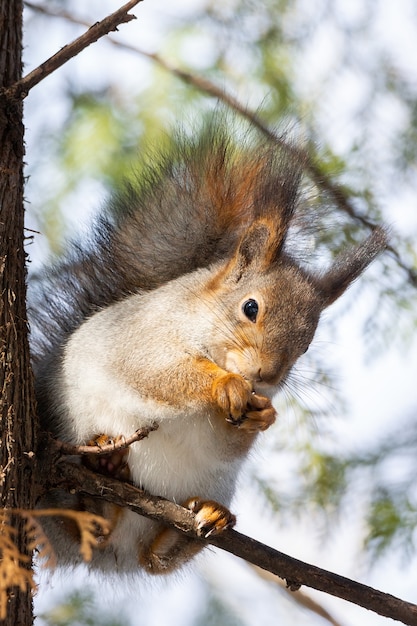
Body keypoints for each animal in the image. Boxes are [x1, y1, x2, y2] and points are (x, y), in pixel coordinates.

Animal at [29, 116, 386, 572]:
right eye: (250, 307)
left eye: (306, 346)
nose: (266, 376)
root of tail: (110, 556)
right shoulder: (142, 333)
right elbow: (152, 371)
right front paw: (223, 385)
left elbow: (225, 444)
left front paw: (264, 415)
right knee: (85, 522)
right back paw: (101, 470)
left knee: (154, 558)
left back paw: (201, 520)